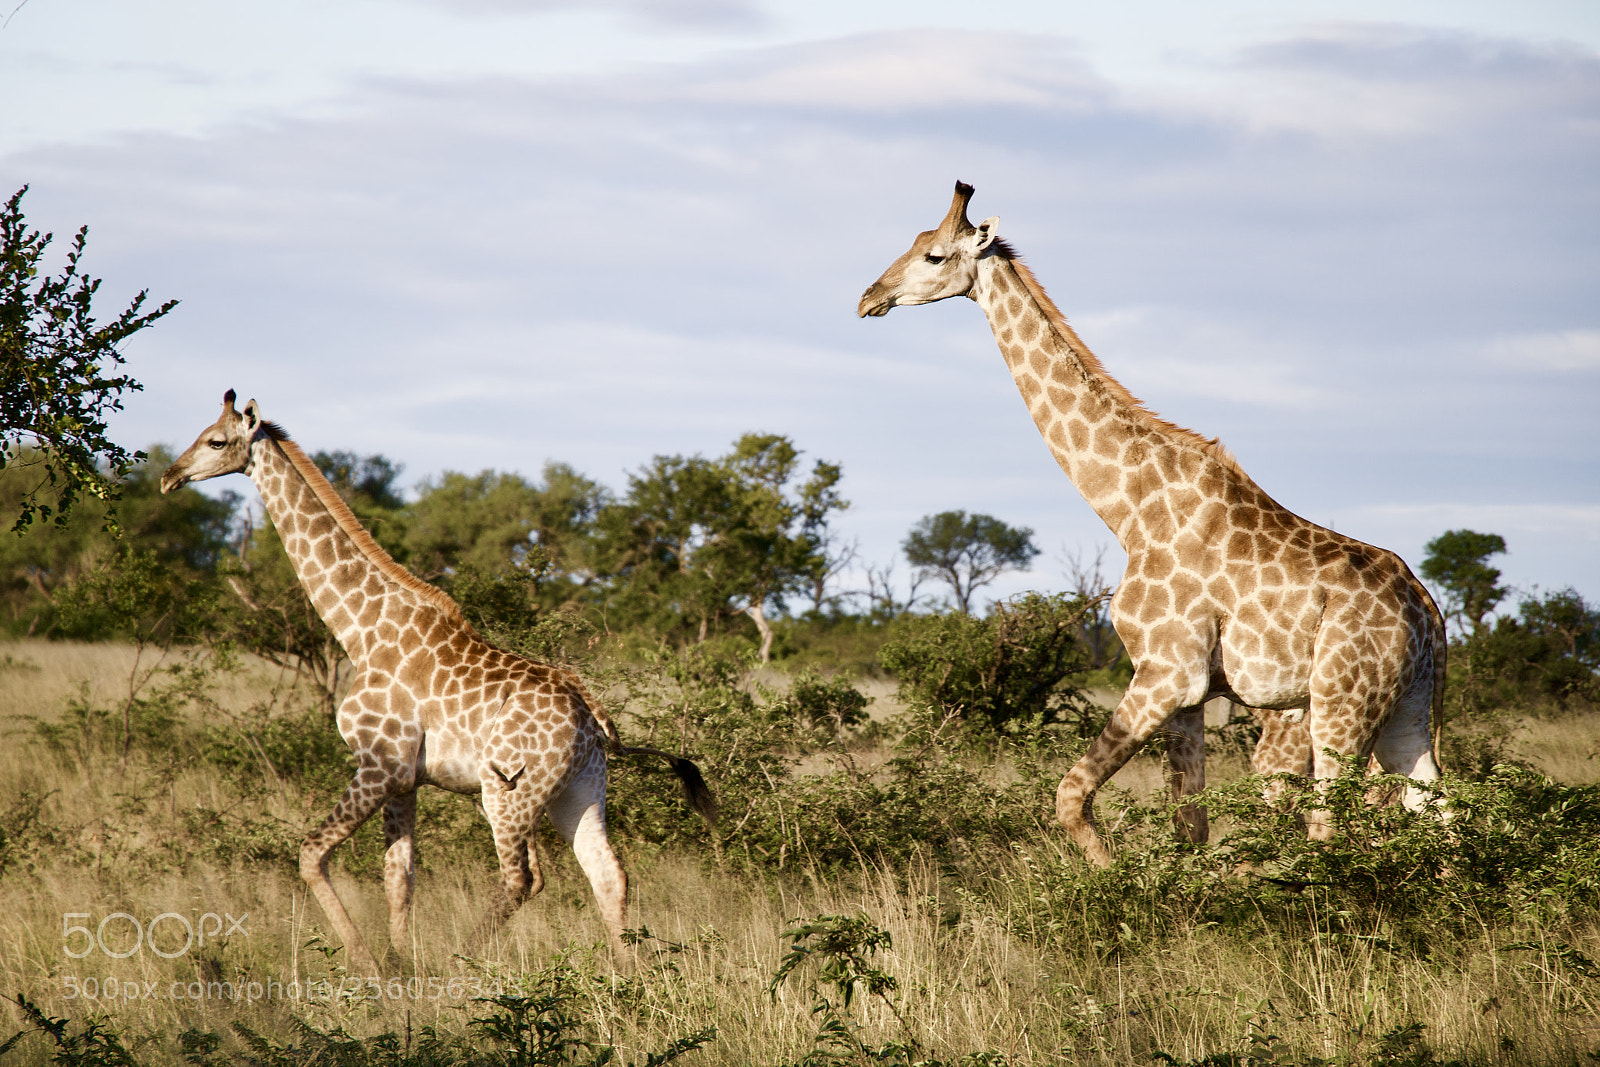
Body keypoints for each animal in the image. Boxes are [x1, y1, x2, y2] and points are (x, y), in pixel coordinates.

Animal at [161, 391, 716, 973]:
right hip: (579, 789)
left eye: (215, 441)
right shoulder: (405, 778)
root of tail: (593, 717)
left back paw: (462, 962)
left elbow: (312, 853)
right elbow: (398, 876)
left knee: (520, 879)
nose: (170, 477)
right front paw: (398, 965)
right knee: (606, 872)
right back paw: (627, 975)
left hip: (507, 792)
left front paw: (370, 965)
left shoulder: (378, 762)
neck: (359, 630)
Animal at [859, 183, 1445, 865]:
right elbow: (1188, 824)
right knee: (1439, 811)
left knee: (1330, 826)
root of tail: (1428, 614)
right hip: (1404, 710)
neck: (1130, 511)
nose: (868, 297)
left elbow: (1070, 794)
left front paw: (1112, 879)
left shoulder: (1166, 673)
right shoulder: (1190, 697)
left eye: (933, 254)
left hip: (1338, 702)